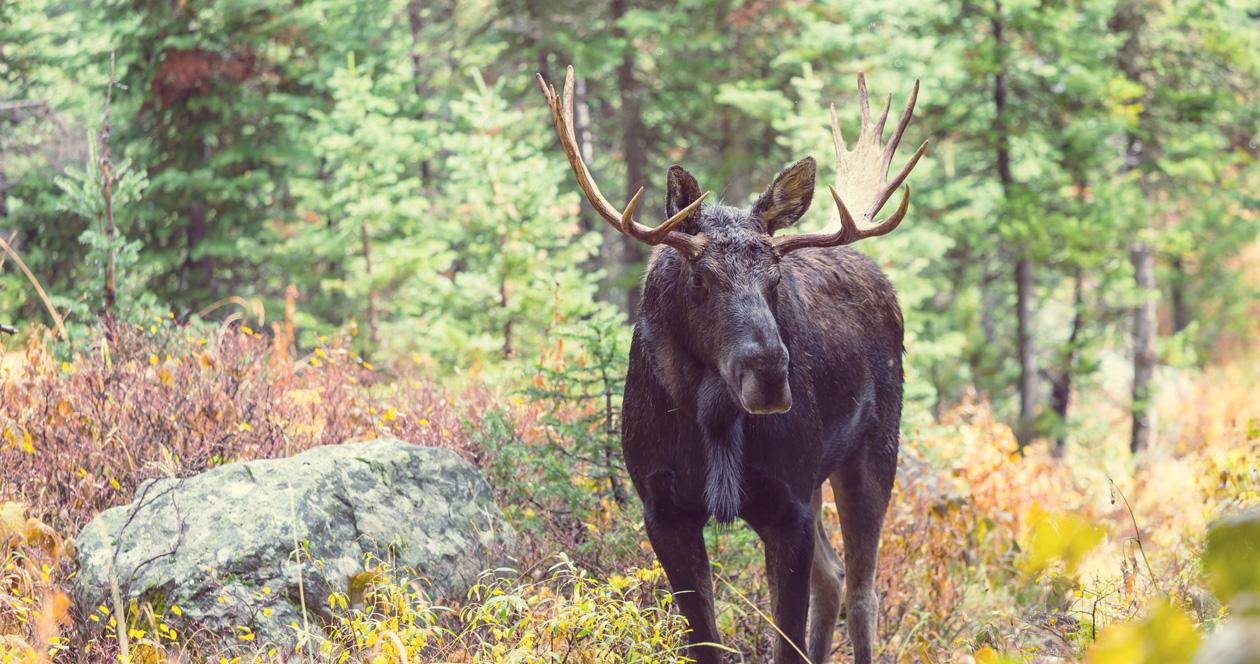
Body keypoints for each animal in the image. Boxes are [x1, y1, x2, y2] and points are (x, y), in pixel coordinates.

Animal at [537, 66, 926, 664]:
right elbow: (707, 641)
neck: (713, 421)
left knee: (863, 592)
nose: (769, 377)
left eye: (775, 279)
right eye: (700, 279)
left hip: (873, 449)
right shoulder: (663, 507)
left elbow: (785, 640)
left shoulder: (788, 505)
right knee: (834, 576)